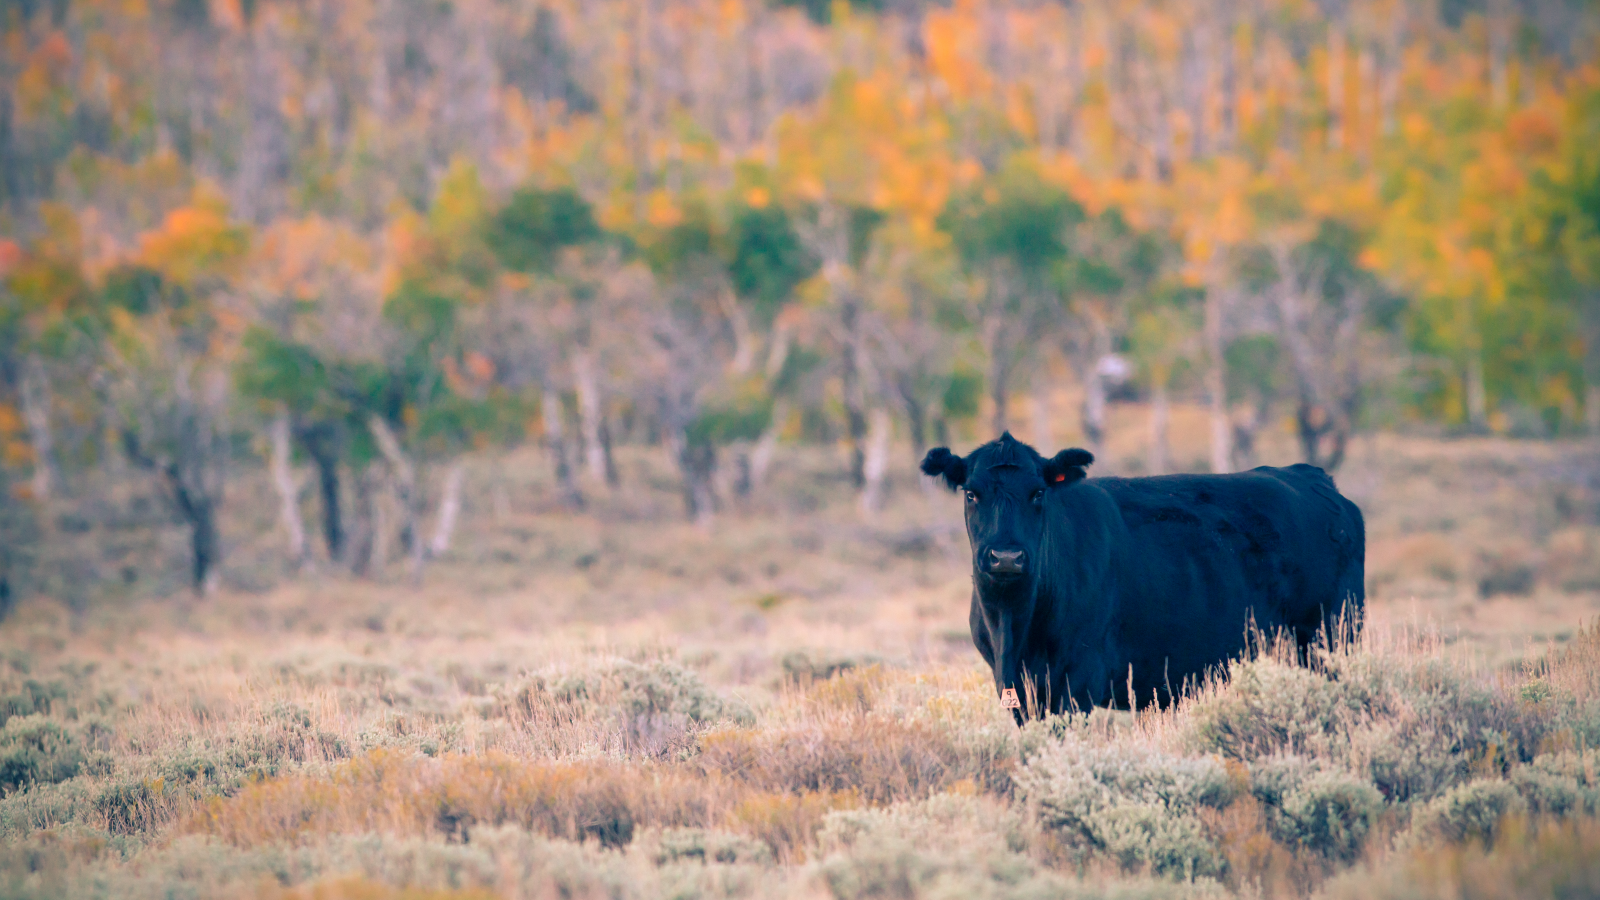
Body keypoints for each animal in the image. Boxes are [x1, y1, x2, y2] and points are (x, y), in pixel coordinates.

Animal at [920, 432, 1365, 720]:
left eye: (1038, 492)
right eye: (971, 493)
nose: (1006, 557)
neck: (1013, 626)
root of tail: (1311, 476)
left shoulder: (1078, 681)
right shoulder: (1015, 689)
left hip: (1331, 639)